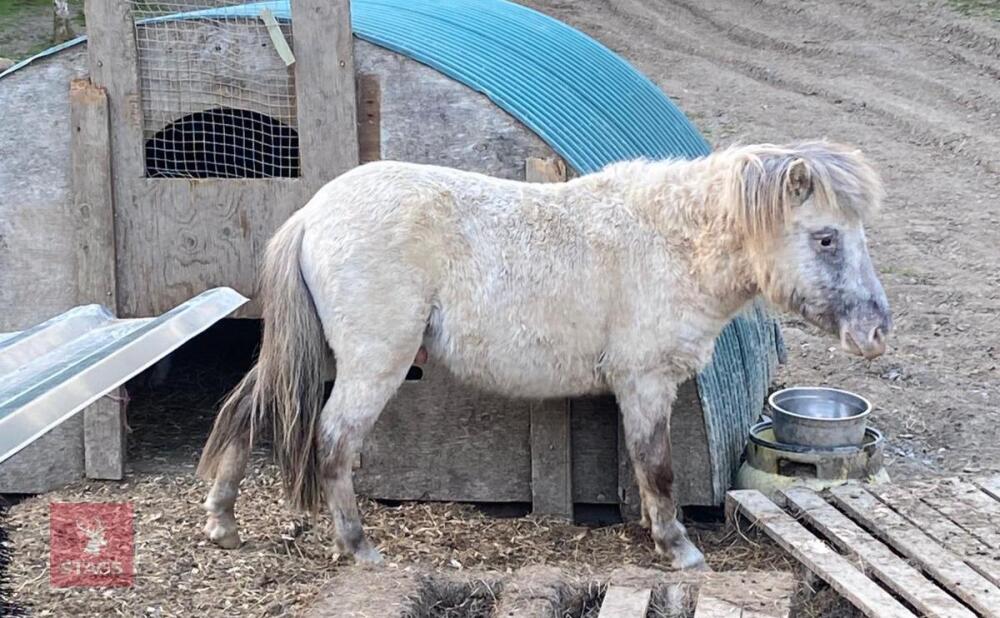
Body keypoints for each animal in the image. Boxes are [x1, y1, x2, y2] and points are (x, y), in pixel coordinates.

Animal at [197, 140, 891, 570]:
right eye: (826, 238)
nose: (876, 331)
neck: (667, 241)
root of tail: (313, 214)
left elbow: (644, 468)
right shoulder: (646, 382)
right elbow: (659, 466)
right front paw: (678, 548)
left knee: (248, 411)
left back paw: (223, 523)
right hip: (373, 365)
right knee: (334, 442)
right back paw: (358, 548)